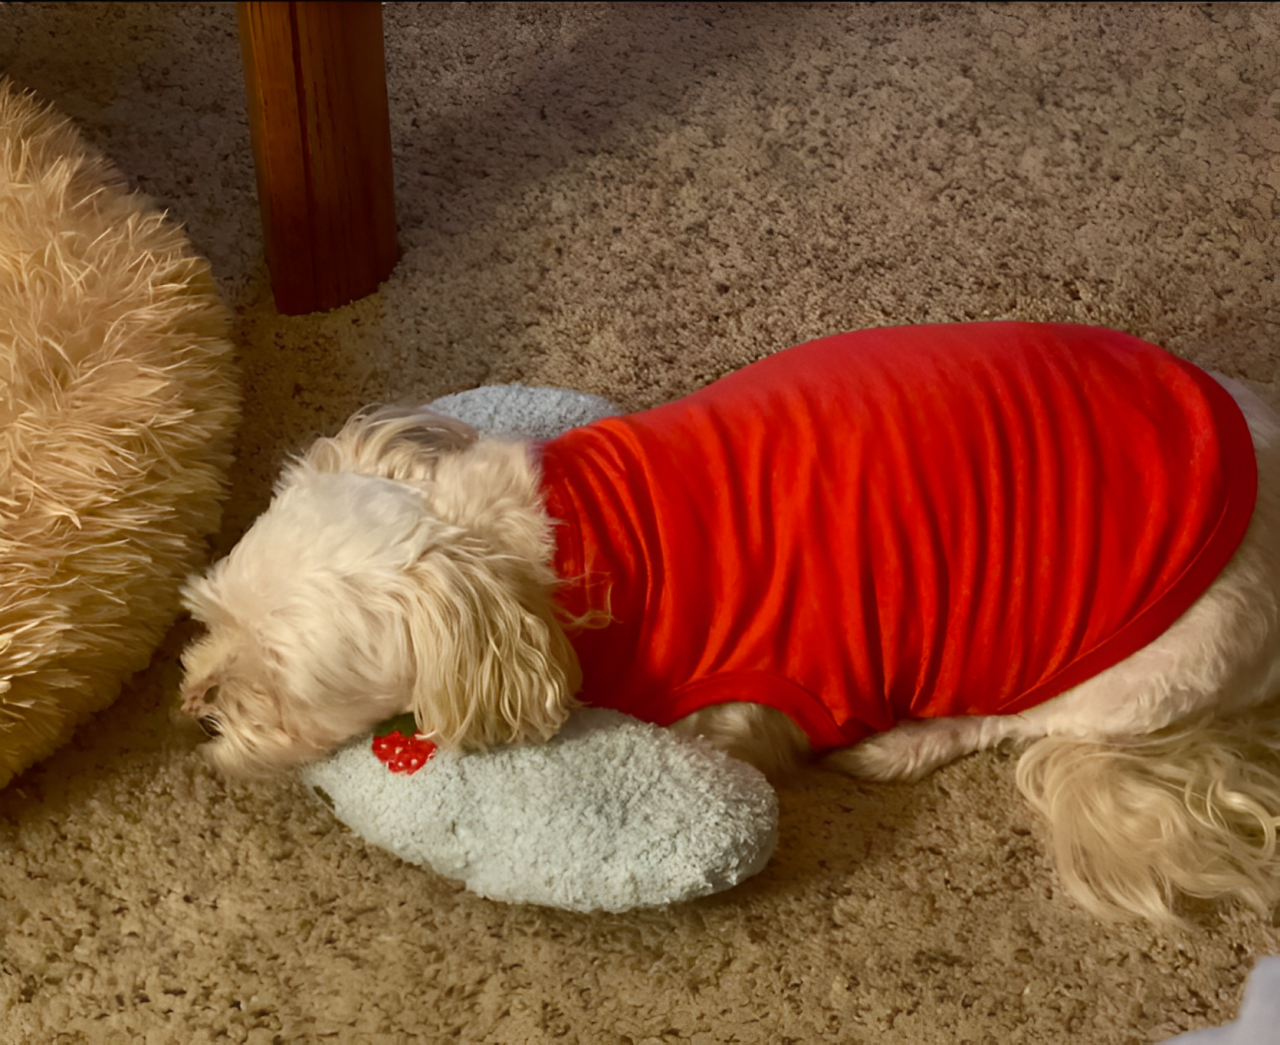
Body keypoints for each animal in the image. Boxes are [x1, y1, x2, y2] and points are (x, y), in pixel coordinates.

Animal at [177, 322, 1280, 916]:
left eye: (276, 689)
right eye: (207, 618)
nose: (196, 708)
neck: (544, 555)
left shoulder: (740, 709)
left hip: (1142, 669)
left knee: (1019, 724)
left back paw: (903, 743)